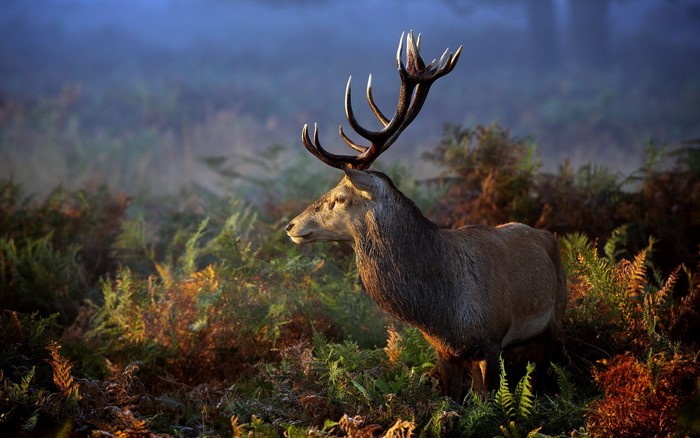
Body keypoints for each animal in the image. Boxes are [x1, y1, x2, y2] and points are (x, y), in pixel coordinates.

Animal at [285, 32, 568, 401]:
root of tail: (547, 236)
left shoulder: (493, 340)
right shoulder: (445, 351)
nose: (291, 225)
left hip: (555, 319)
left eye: (340, 197)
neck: (442, 312)